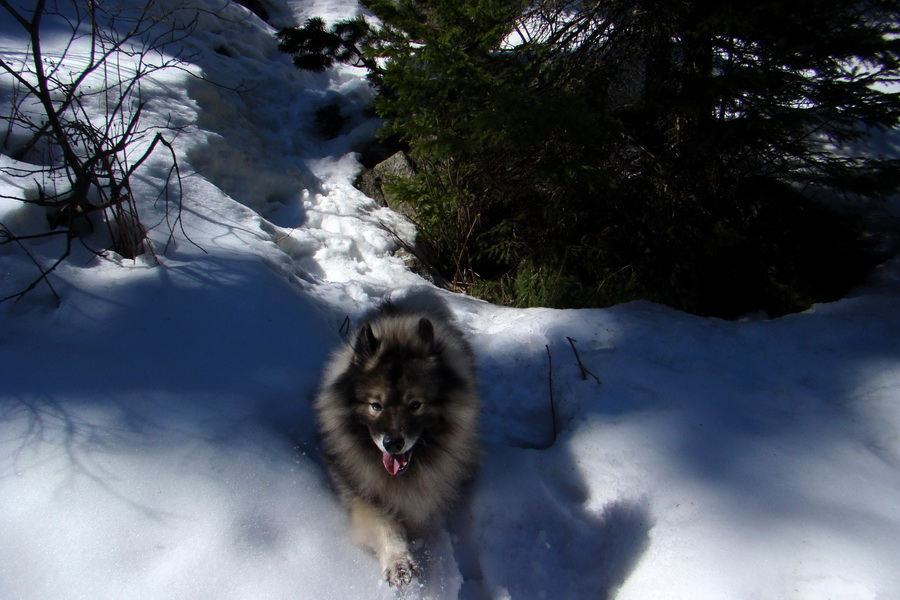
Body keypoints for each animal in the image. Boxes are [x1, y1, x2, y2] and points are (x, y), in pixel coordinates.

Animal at [312, 292, 478, 588]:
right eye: (375, 405)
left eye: (415, 404)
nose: (392, 443)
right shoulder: (362, 490)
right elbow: (384, 524)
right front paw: (398, 562)